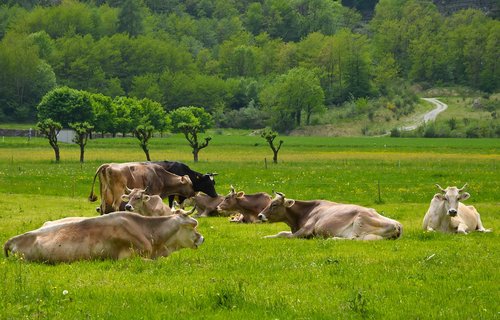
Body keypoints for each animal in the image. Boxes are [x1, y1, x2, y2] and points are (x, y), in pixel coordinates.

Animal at [258, 190, 402, 240]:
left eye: (274, 204)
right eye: (269, 202)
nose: (260, 216)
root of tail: (397, 224)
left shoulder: (306, 230)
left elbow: (286, 236)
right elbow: (281, 233)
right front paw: (266, 236)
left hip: (359, 221)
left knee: (353, 239)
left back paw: (333, 239)